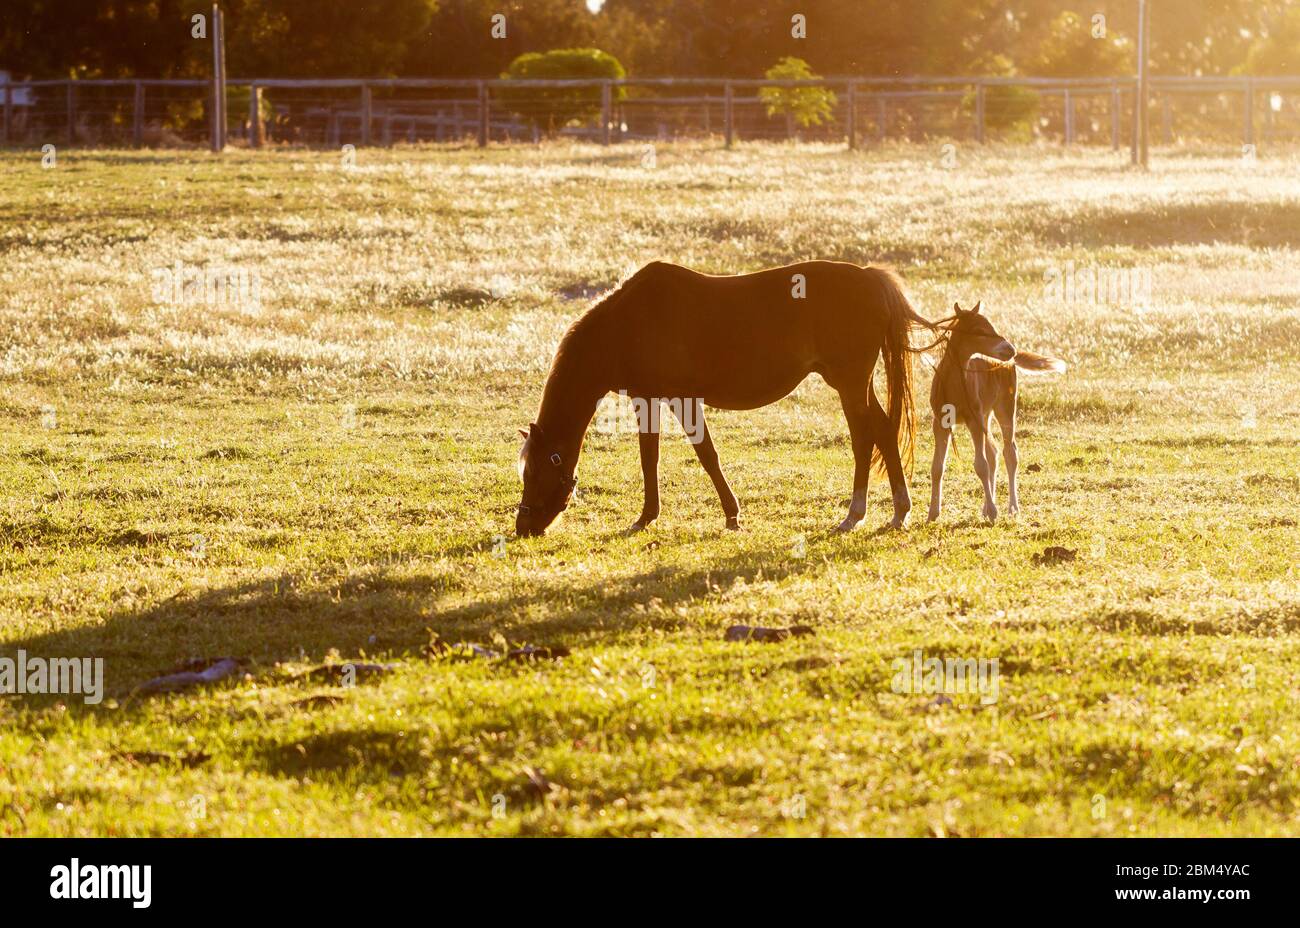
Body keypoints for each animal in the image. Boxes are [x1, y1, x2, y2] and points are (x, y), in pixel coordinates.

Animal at [512, 259, 941, 535]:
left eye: (534, 472)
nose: (523, 526)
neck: (625, 325)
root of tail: (870, 278)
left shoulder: (677, 400)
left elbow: (700, 455)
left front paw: (728, 515)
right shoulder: (651, 400)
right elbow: (656, 457)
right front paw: (651, 516)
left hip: (850, 384)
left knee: (863, 438)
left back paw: (855, 514)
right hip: (856, 384)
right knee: (883, 430)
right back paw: (900, 511)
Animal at [935, 301, 1066, 519]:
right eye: (978, 330)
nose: (1010, 349)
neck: (954, 382)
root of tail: (1011, 362)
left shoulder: (973, 420)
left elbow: (980, 465)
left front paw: (994, 511)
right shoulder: (940, 422)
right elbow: (938, 466)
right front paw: (932, 514)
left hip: (1004, 408)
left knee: (1009, 452)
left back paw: (1012, 508)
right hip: (986, 415)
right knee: (993, 452)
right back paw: (987, 507)